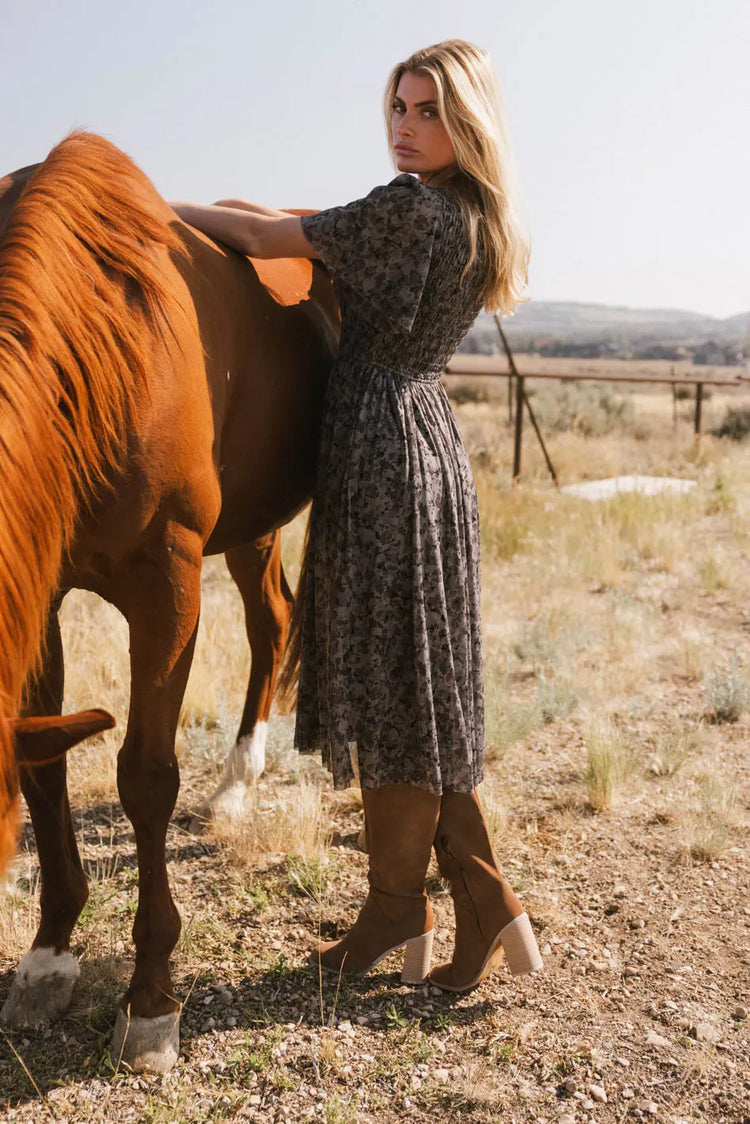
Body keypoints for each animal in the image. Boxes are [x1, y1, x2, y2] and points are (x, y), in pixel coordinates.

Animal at [0, 133, 337, 1070]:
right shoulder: (41, 592)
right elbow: (45, 764)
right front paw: (49, 955)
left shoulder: (168, 584)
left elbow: (145, 777)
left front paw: (151, 999)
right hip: (254, 524)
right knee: (274, 620)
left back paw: (241, 779)